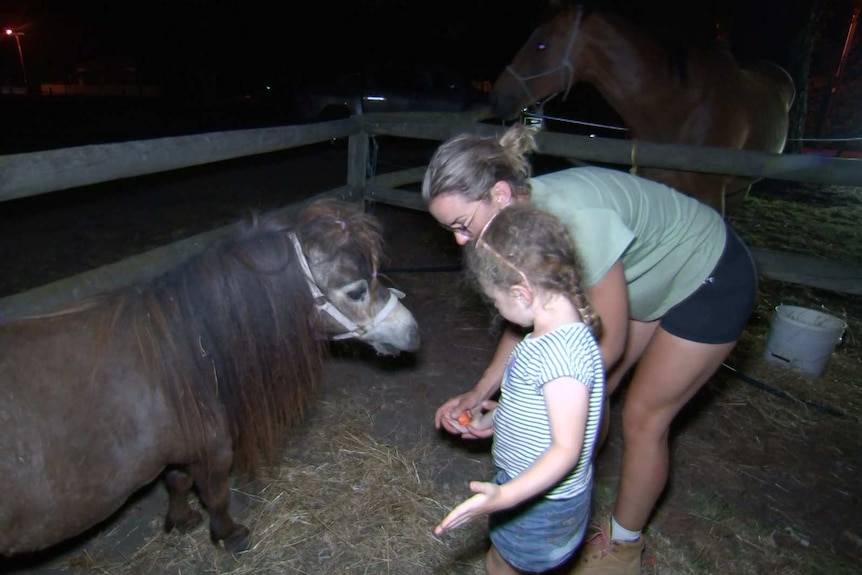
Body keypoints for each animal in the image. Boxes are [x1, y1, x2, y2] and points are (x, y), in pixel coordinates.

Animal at [0, 199, 418, 560]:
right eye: (356, 290)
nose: (412, 331)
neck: (184, 348)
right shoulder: (213, 448)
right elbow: (214, 492)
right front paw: (229, 535)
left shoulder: (182, 447)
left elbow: (176, 481)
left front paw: (181, 520)